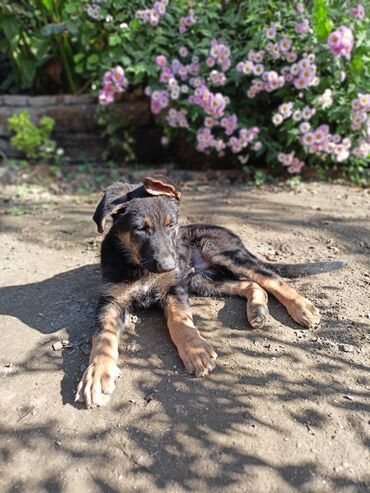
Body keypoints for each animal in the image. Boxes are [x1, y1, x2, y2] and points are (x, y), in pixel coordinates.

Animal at [76, 177, 346, 408]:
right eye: (141, 228)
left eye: (171, 226)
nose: (170, 266)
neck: (139, 268)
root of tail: (233, 235)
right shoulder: (111, 300)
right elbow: (103, 337)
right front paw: (97, 374)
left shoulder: (174, 289)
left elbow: (180, 321)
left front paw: (195, 350)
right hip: (202, 280)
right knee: (252, 285)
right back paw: (257, 310)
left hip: (221, 253)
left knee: (271, 279)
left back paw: (302, 308)